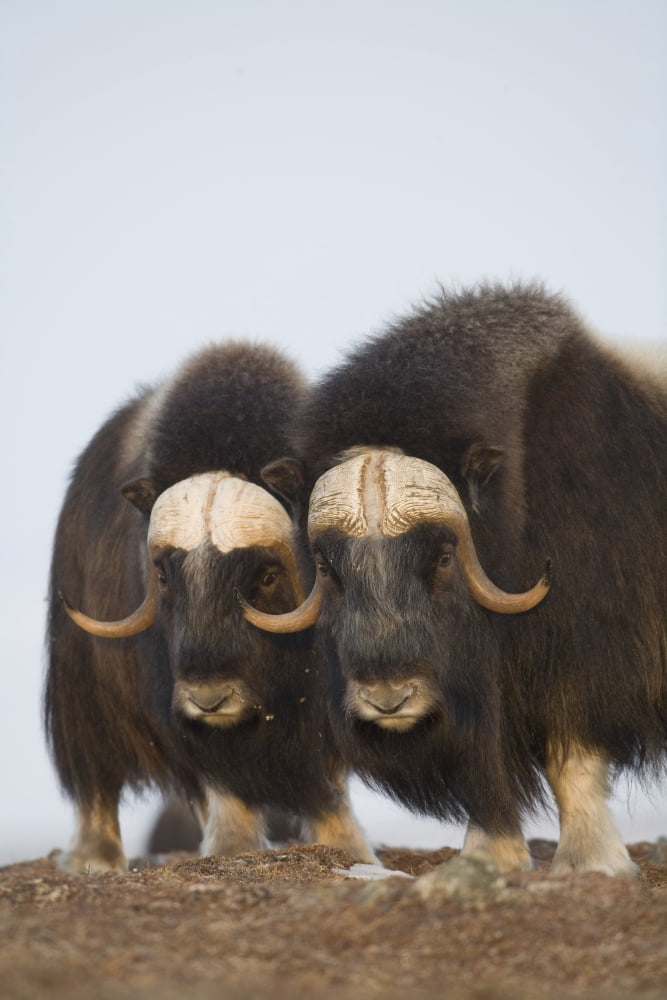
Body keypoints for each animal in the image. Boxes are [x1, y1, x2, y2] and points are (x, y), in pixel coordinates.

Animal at [45, 341, 375, 872]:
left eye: (266, 576)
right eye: (163, 576)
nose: (208, 698)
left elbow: (327, 779)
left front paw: (352, 851)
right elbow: (218, 780)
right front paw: (233, 849)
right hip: (82, 691)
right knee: (95, 780)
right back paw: (93, 860)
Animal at [239, 284, 667, 877]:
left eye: (444, 556)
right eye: (325, 566)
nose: (388, 698)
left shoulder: (587, 659)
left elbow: (573, 759)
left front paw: (591, 864)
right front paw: (488, 856)